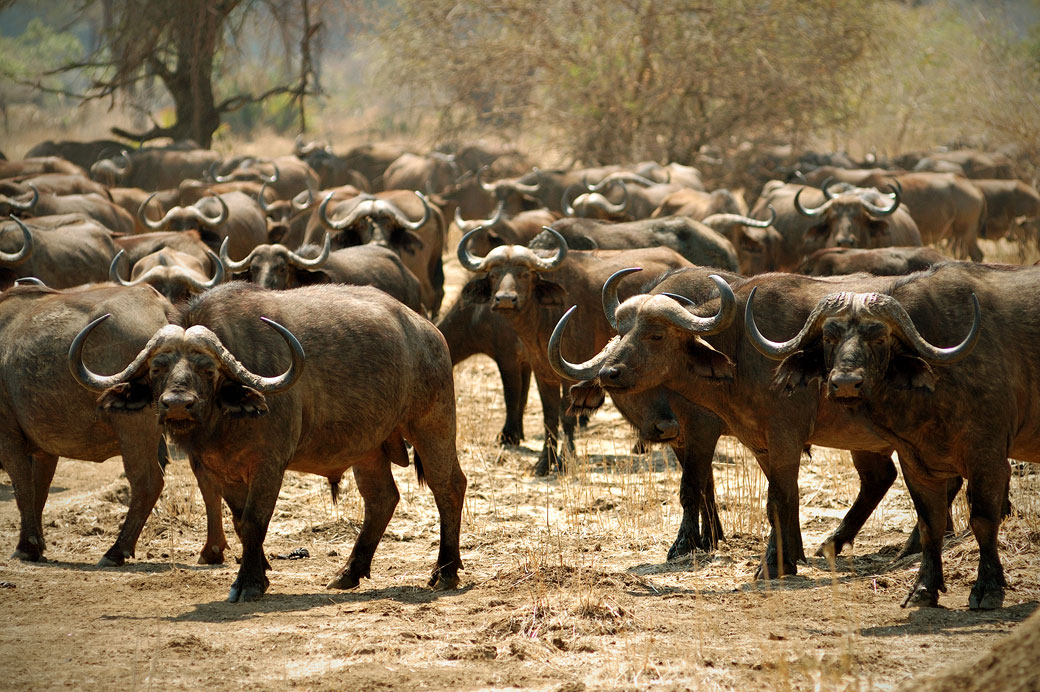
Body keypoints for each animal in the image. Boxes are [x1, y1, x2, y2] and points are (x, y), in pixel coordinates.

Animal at [0, 283, 174, 566]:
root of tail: (160, 307)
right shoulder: (44, 448)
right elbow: (38, 491)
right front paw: (36, 546)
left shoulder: (8, 438)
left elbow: (23, 488)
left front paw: (26, 547)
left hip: (134, 427)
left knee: (147, 482)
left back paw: (115, 551)